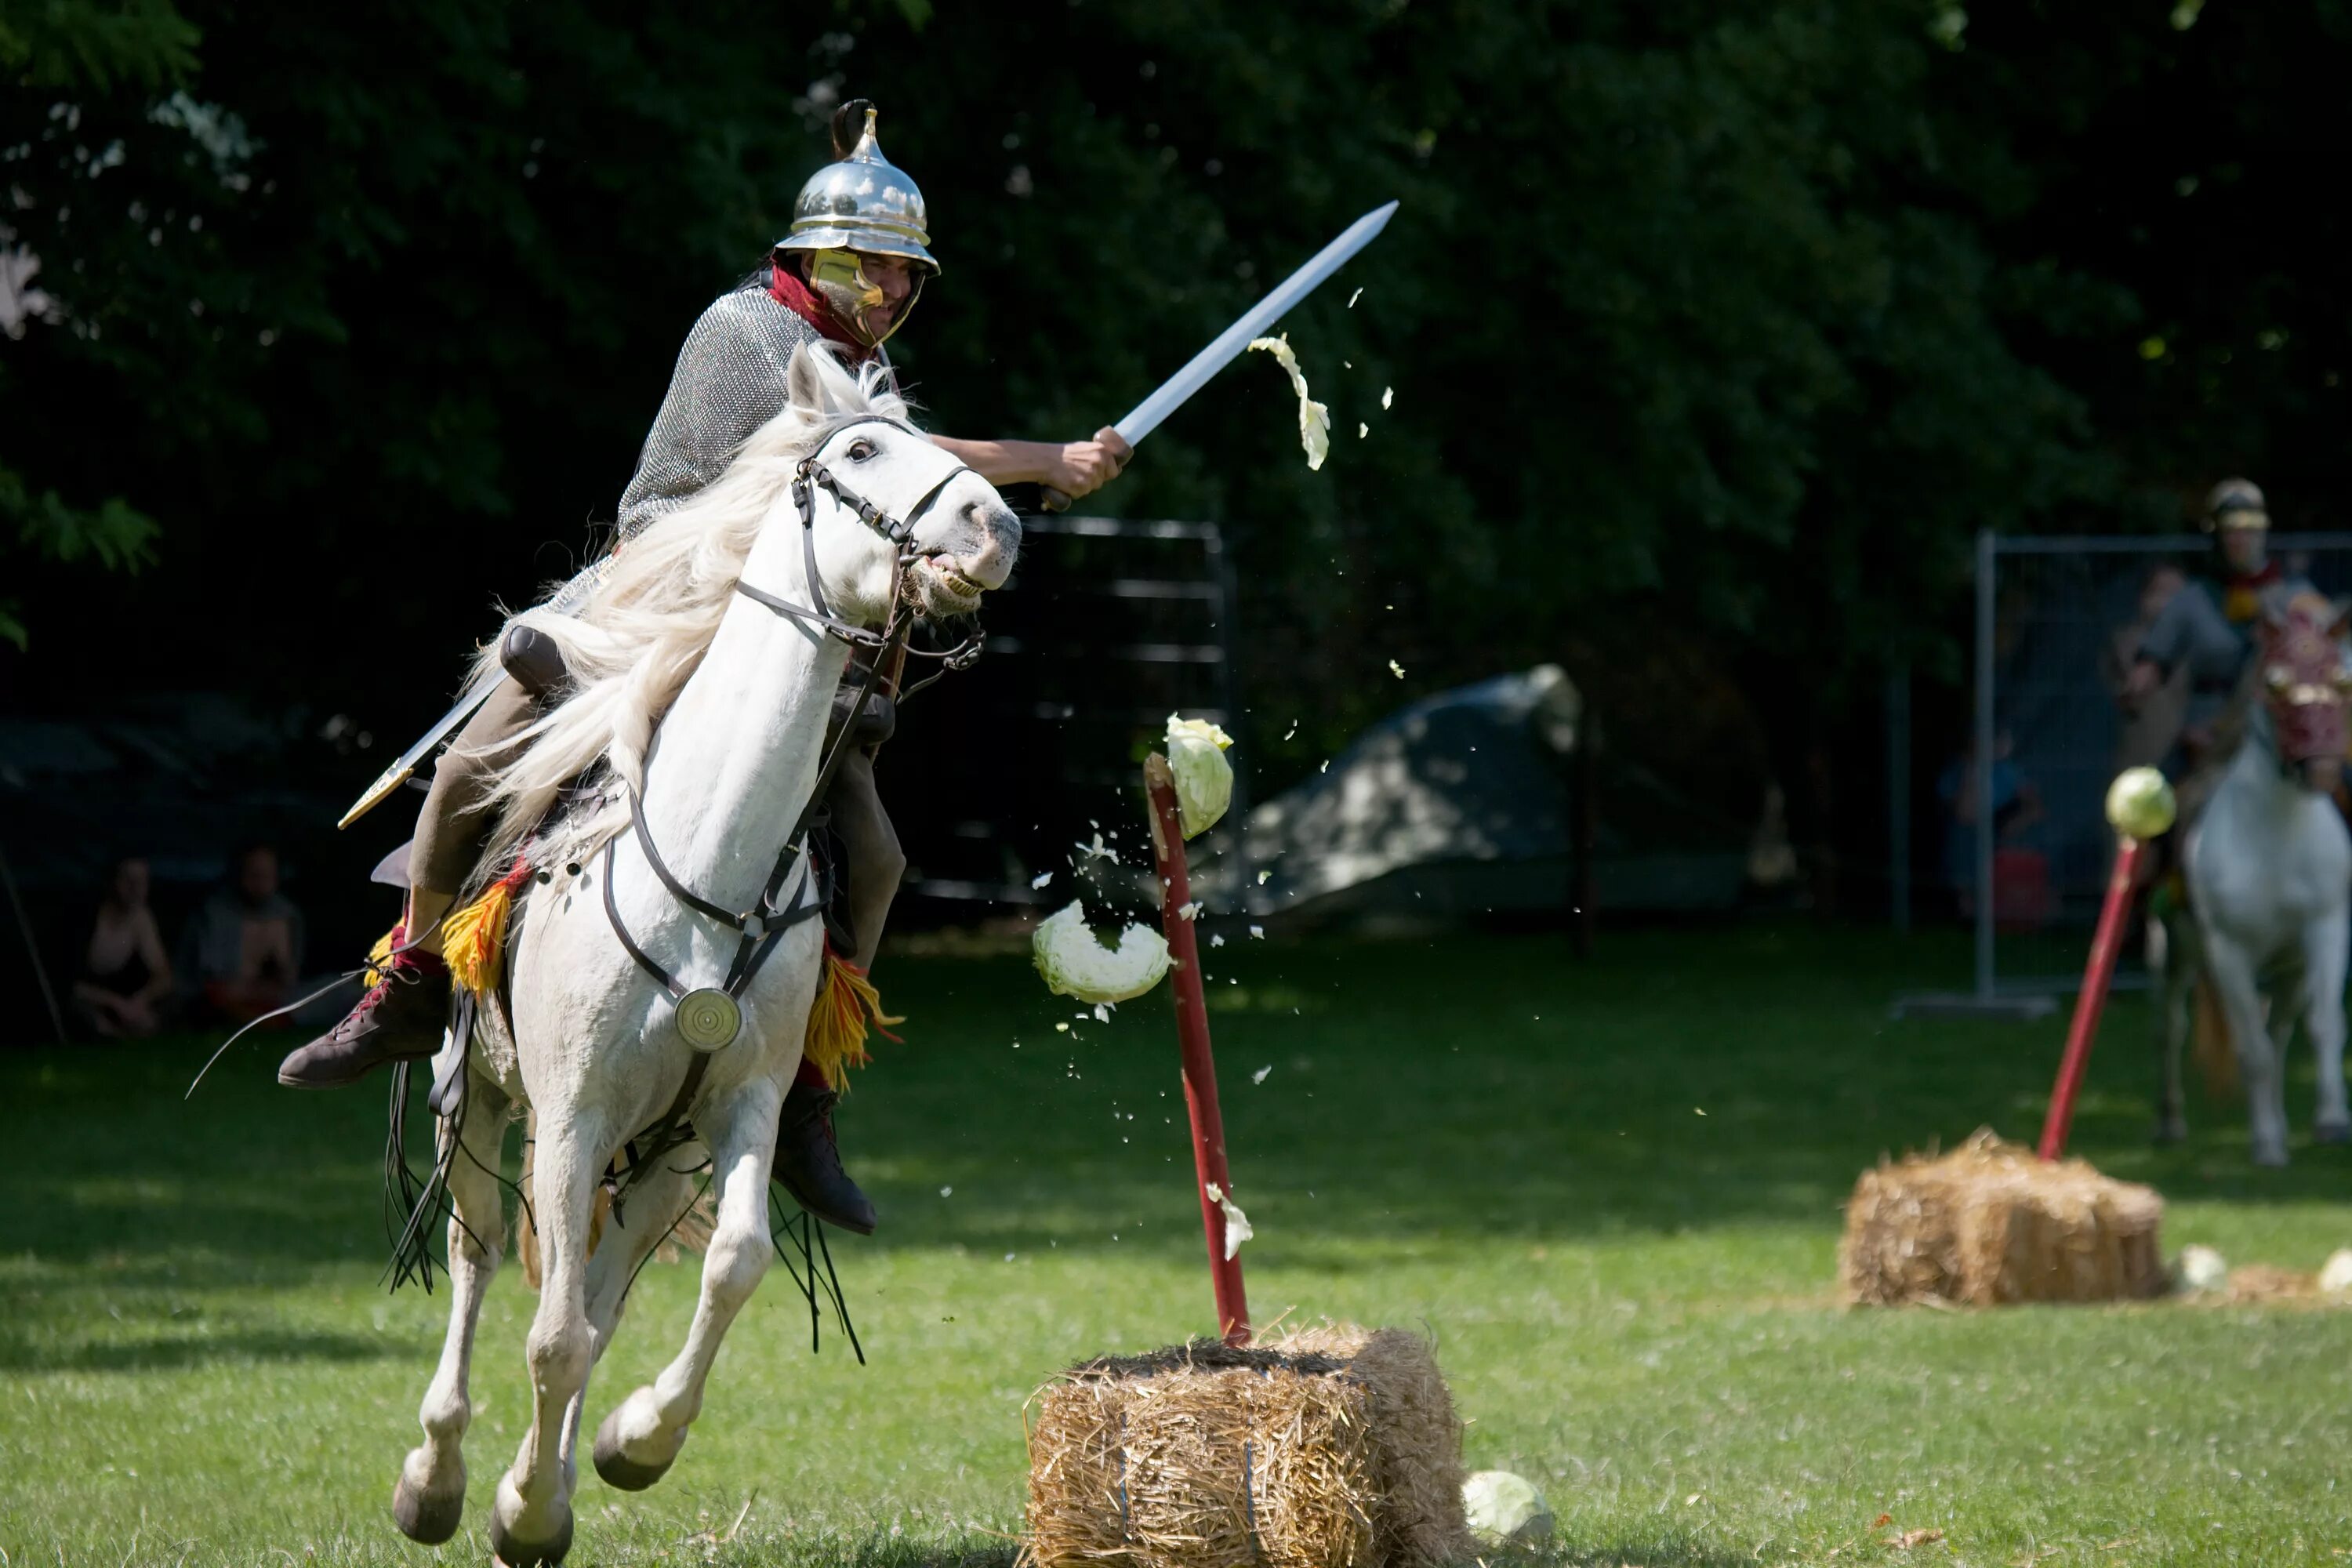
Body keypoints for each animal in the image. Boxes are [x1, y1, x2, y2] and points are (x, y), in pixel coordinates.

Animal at [386, 345, 1011, 1568]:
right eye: (862, 449)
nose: (994, 525)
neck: (707, 861)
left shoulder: (742, 1110)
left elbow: (729, 1266)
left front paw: (629, 1446)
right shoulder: (571, 1118)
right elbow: (548, 1335)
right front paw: (517, 1505)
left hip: (658, 1157)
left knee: (602, 1291)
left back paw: (547, 1474)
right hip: (475, 1101)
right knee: (479, 1260)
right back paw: (437, 1477)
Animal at [2154, 594, 2352, 1171]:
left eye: (2342, 678)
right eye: (2277, 683)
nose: (2322, 769)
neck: (2276, 835)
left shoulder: (2327, 930)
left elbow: (2324, 1027)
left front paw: (2331, 1121)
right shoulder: (2229, 952)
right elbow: (2252, 1050)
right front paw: (2266, 1144)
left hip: (2289, 972)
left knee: (2282, 1030)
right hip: (2173, 953)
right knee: (2171, 1029)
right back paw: (2170, 1122)